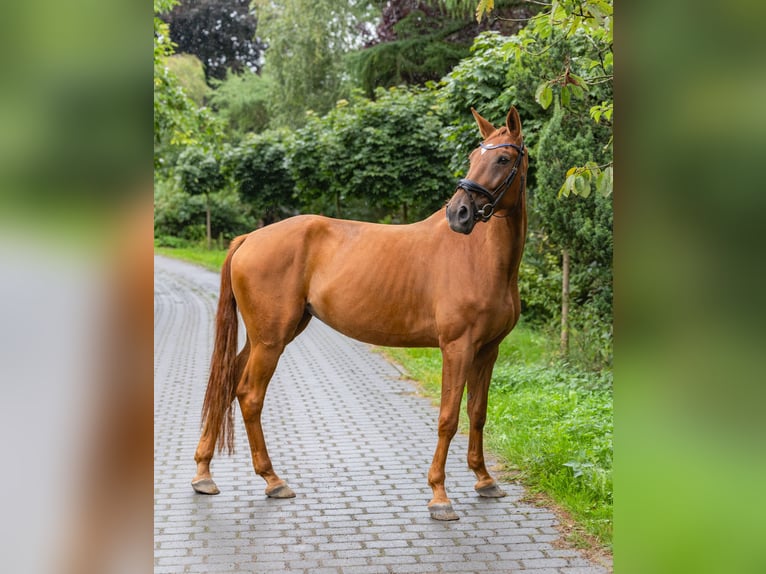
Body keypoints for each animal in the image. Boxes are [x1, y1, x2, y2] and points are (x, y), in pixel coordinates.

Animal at [192, 104, 528, 520]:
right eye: (472, 156)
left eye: (502, 158)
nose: (459, 213)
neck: (481, 258)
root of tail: (250, 238)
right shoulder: (457, 347)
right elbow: (448, 418)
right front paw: (439, 495)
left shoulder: (488, 350)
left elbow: (477, 413)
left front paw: (484, 479)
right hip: (271, 340)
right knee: (249, 395)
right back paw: (273, 480)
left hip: (264, 337)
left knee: (226, 384)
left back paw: (204, 474)